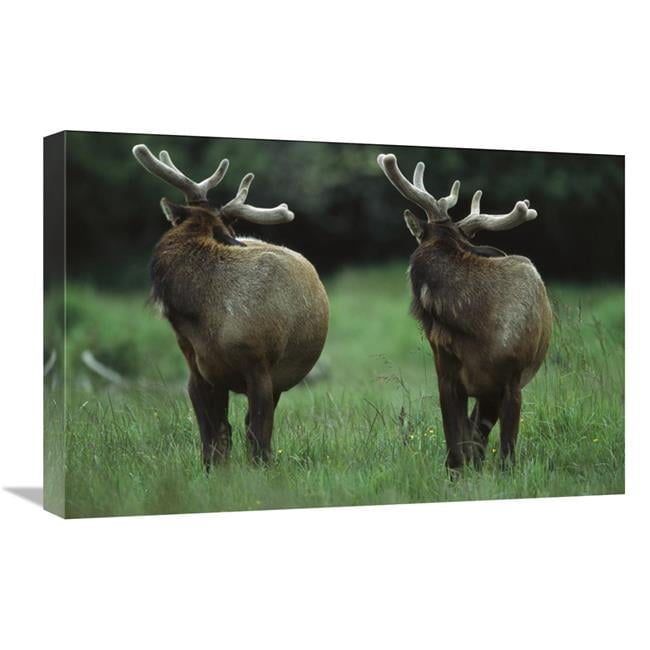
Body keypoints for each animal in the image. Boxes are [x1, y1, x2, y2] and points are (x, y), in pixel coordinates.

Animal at [132, 144, 329, 468]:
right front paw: (214, 472)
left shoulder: (260, 366)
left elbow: (258, 437)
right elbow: (212, 439)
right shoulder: (198, 372)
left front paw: (261, 472)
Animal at [377, 153, 552, 471]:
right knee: (473, 436)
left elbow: (506, 454)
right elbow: (455, 451)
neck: (476, 325)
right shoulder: (446, 375)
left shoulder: (512, 380)